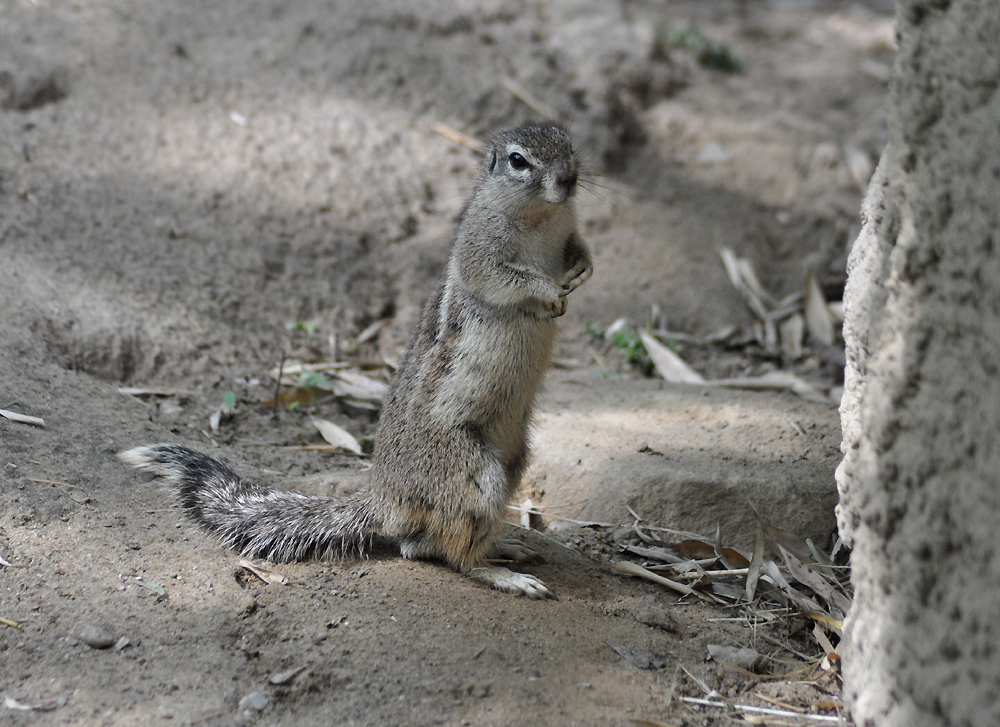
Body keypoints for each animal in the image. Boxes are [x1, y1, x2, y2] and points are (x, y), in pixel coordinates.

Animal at [123, 123, 592, 596]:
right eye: (518, 160)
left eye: (568, 142)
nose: (569, 180)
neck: (543, 217)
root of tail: (385, 504)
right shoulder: (481, 253)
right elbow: (507, 279)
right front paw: (549, 291)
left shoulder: (567, 231)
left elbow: (579, 251)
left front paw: (583, 270)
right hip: (475, 475)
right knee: (450, 555)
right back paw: (505, 574)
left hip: (515, 460)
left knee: (423, 545)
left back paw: (507, 545)